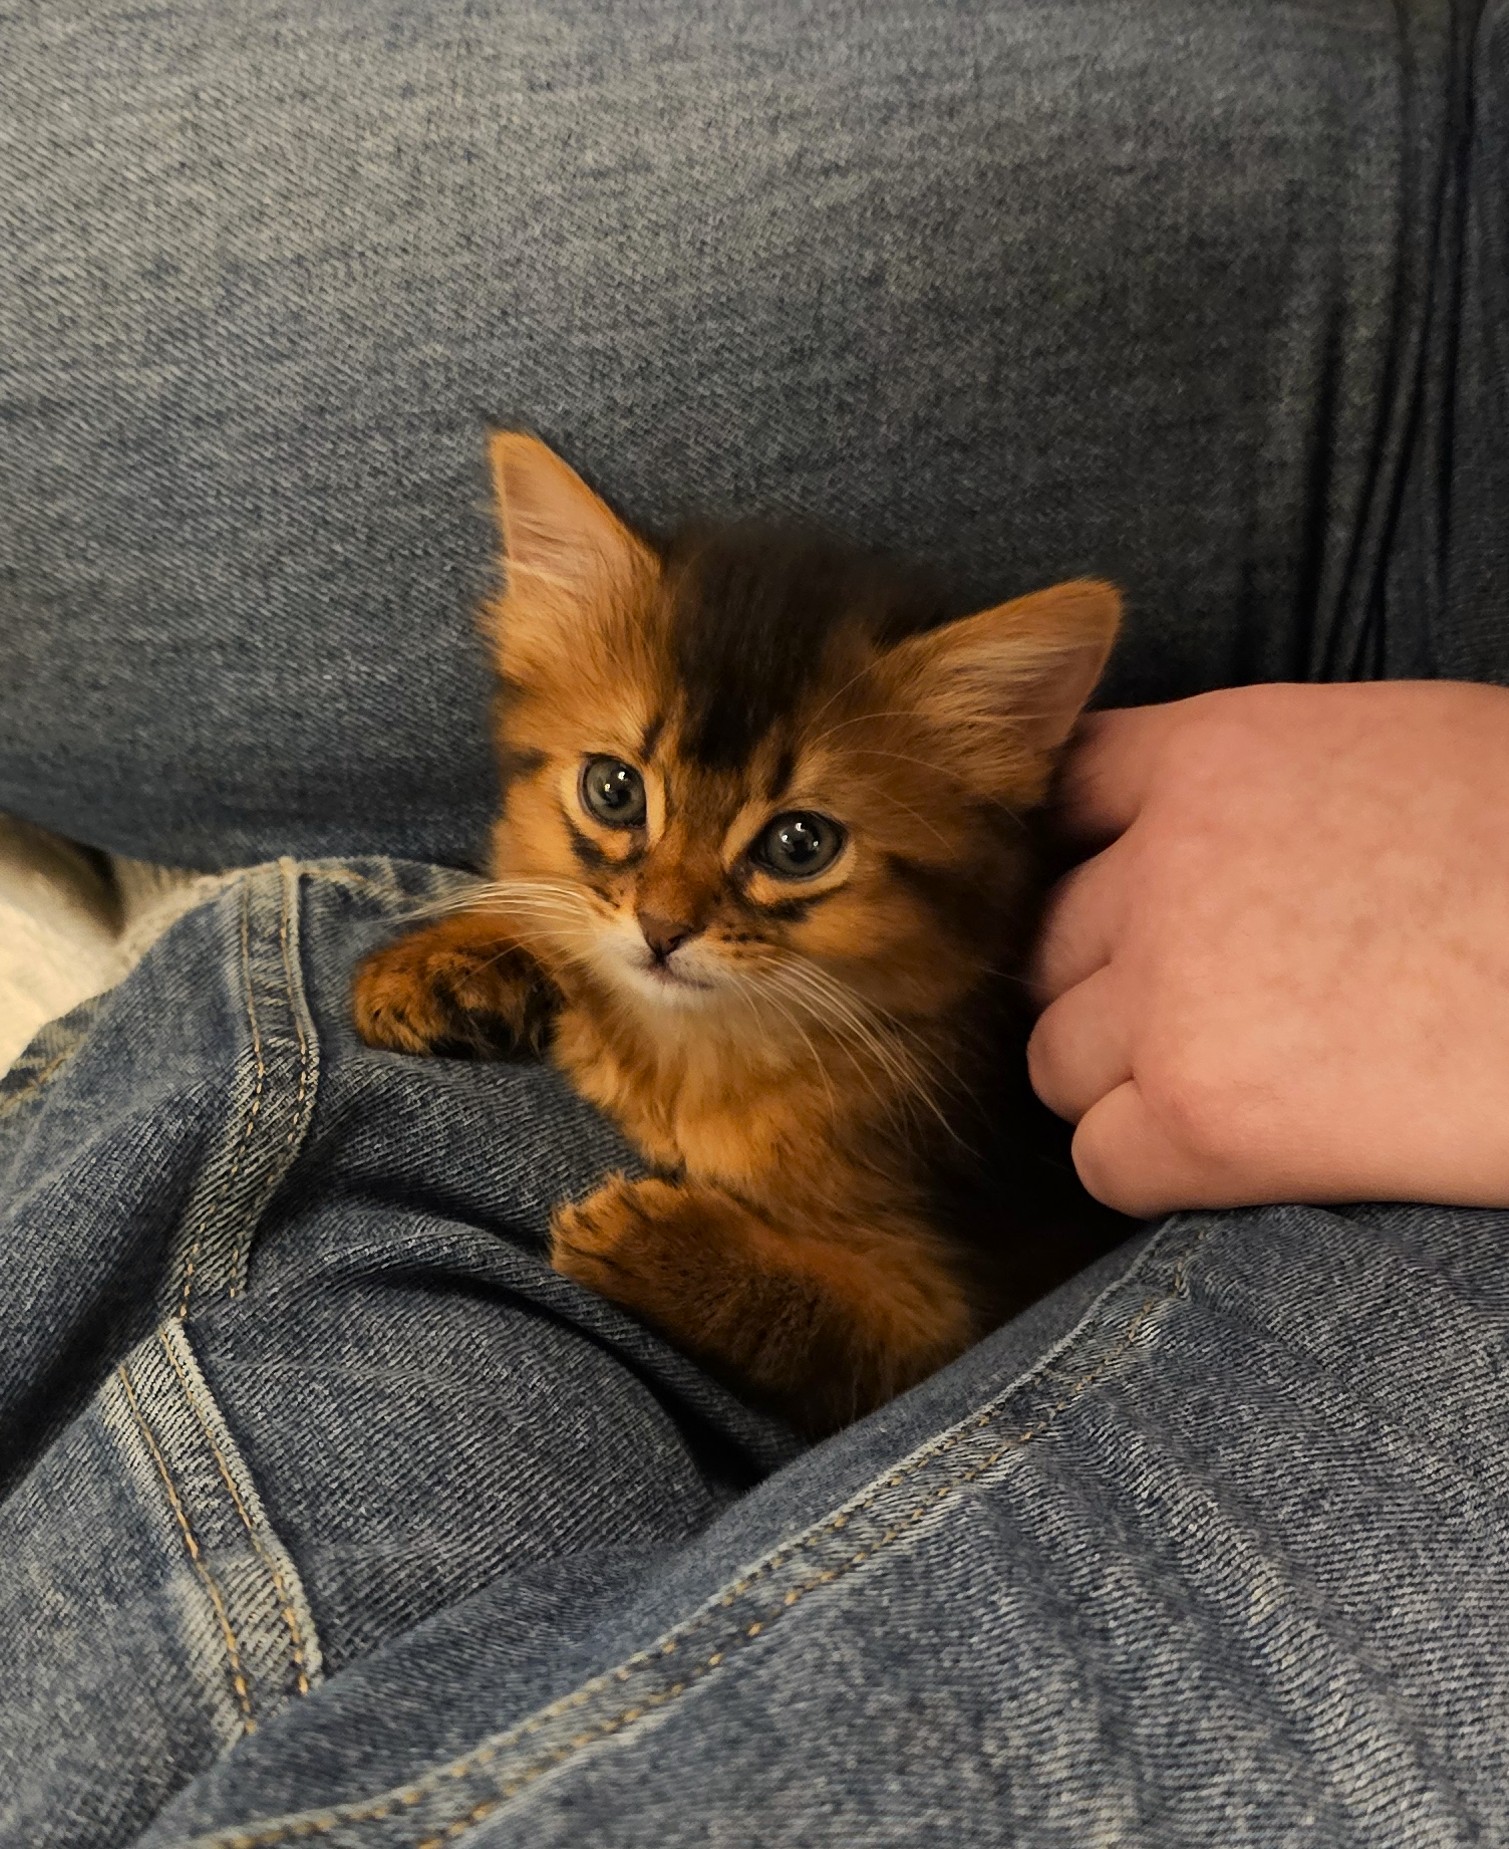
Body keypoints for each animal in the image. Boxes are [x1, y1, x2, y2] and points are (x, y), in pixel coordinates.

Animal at [352, 432, 1124, 1435]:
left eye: (800, 844)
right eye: (613, 790)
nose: (661, 928)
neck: (684, 1055)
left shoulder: (953, 1318)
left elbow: (831, 1326)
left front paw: (659, 1244)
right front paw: (443, 961)